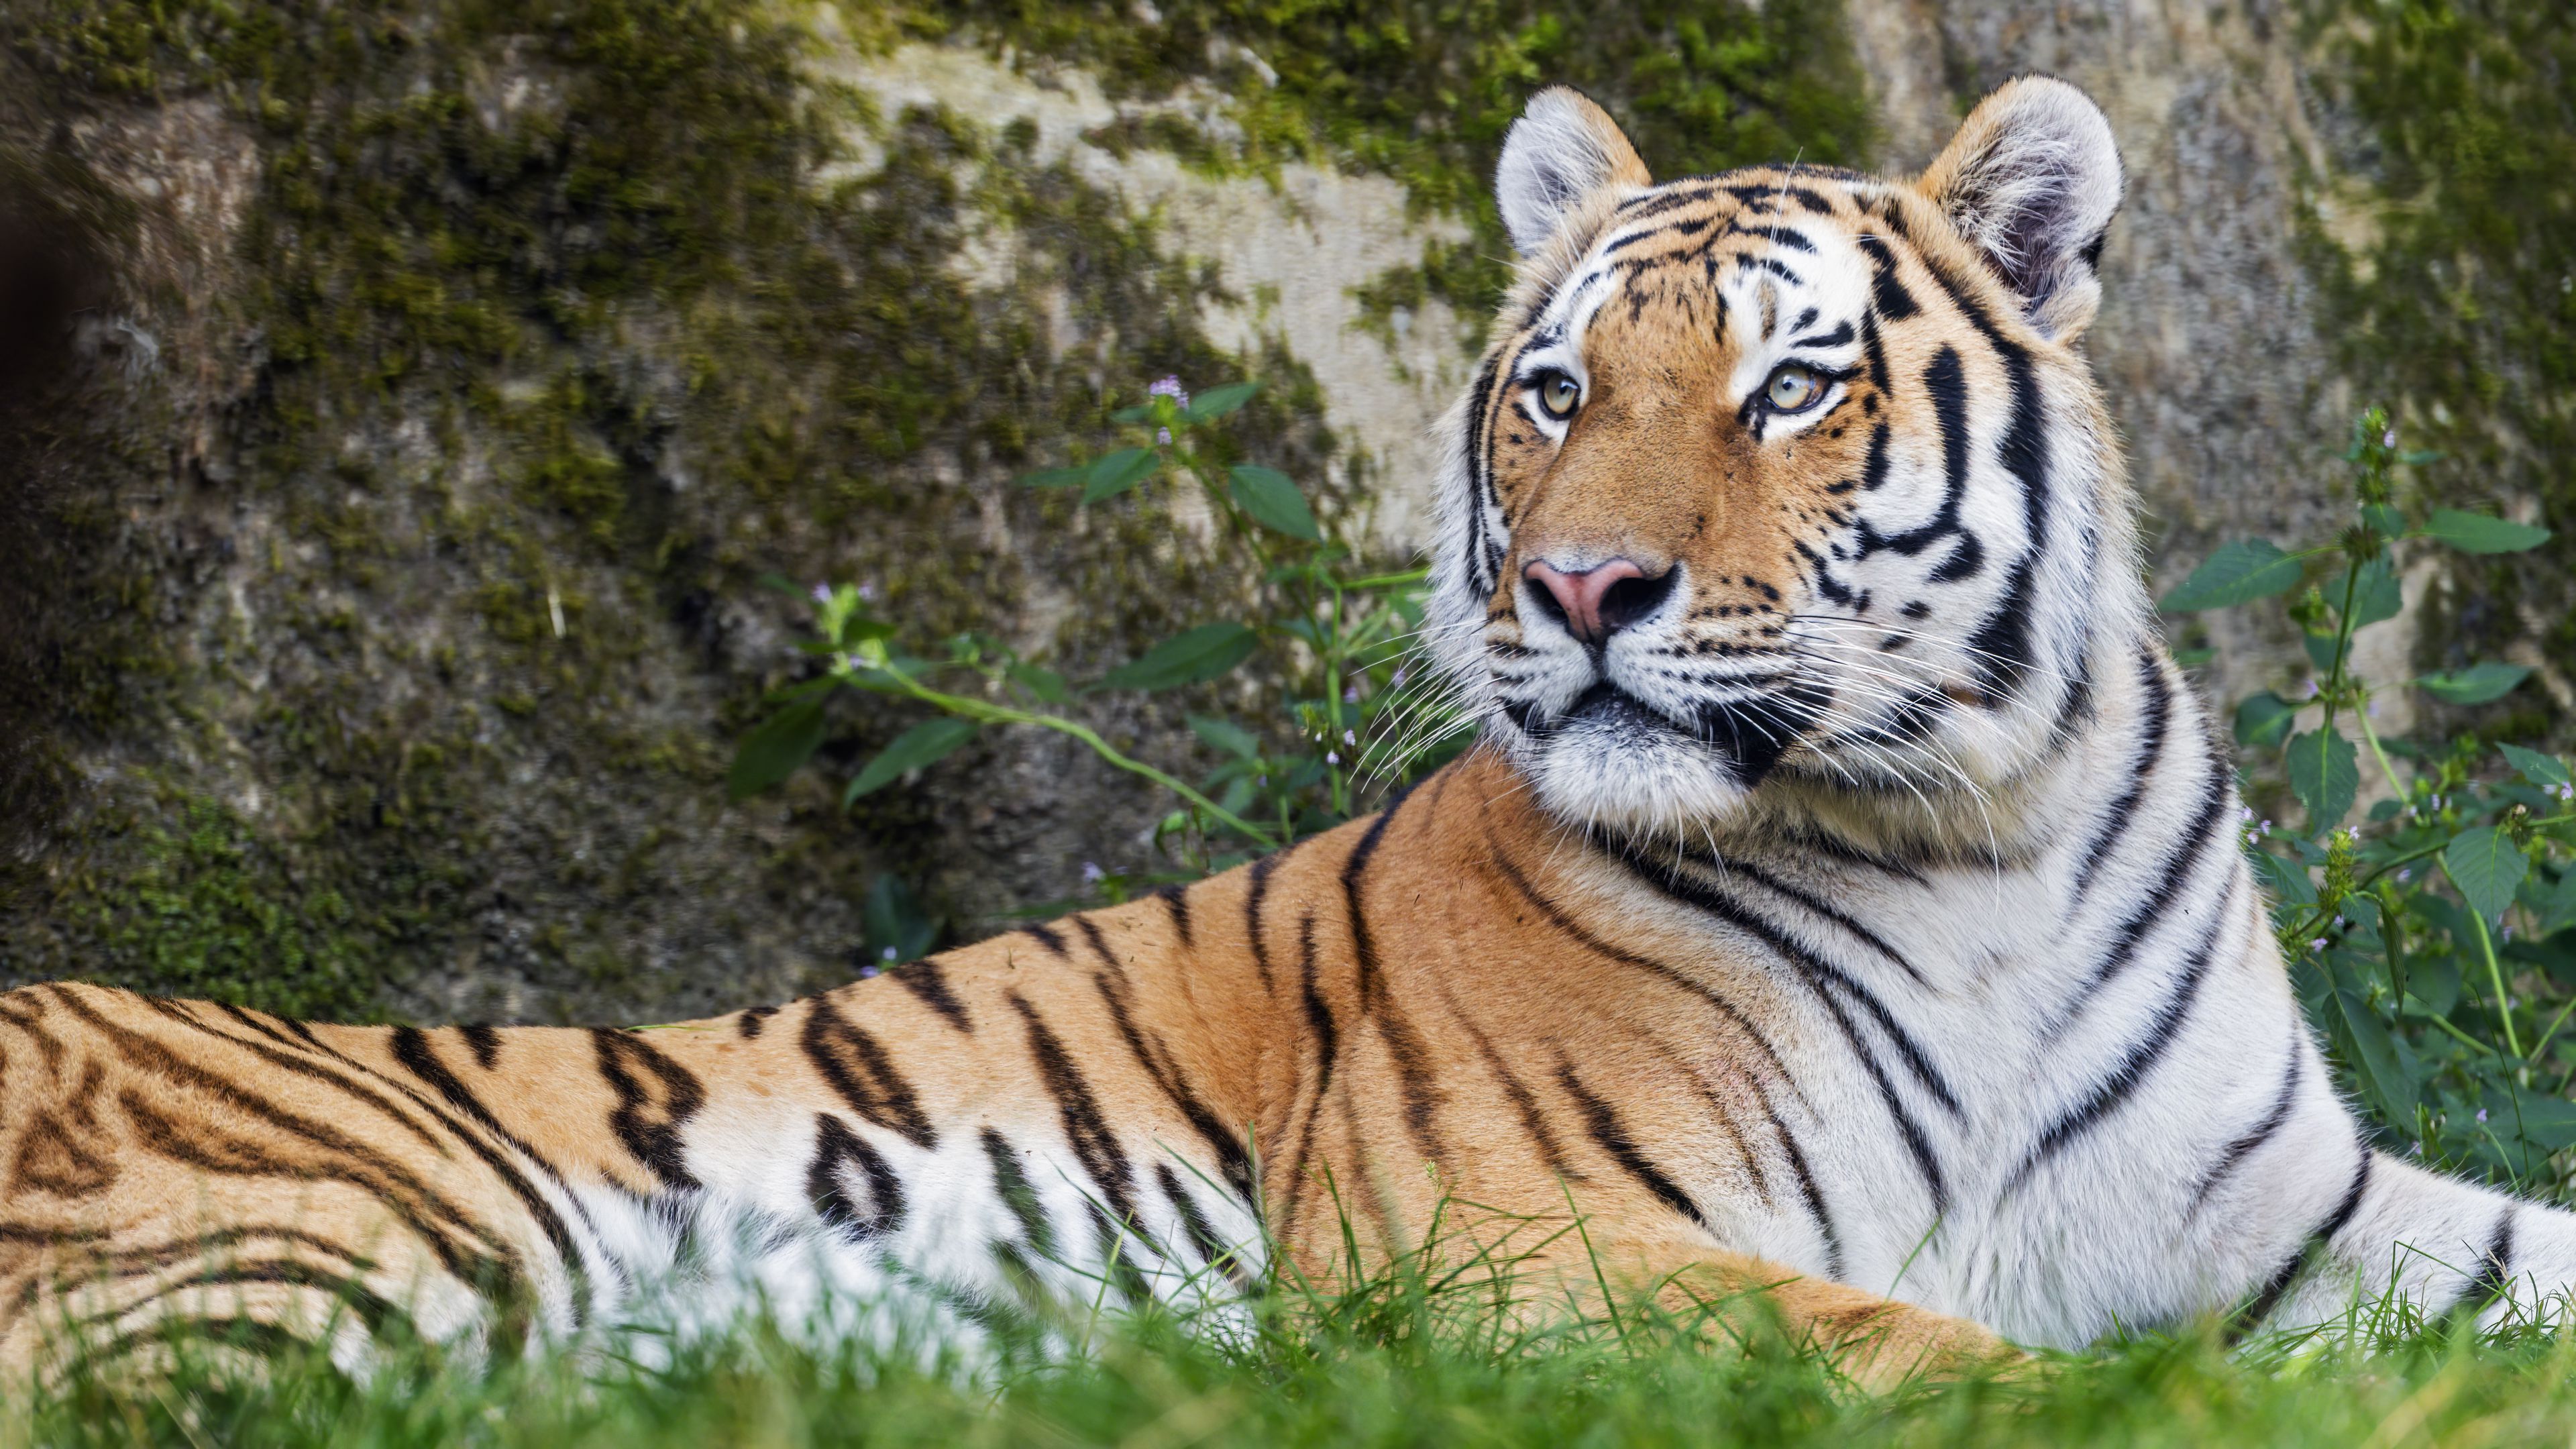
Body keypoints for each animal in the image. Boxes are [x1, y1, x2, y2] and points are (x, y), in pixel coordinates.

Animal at [2, 74, 2568, 1387]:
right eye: (1557, 392)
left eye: (1787, 387)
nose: (1582, 590)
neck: (1972, 834)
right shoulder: (1518, 1238)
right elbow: (1954, 1366)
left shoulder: (2289, 1206)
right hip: (345, 1240)